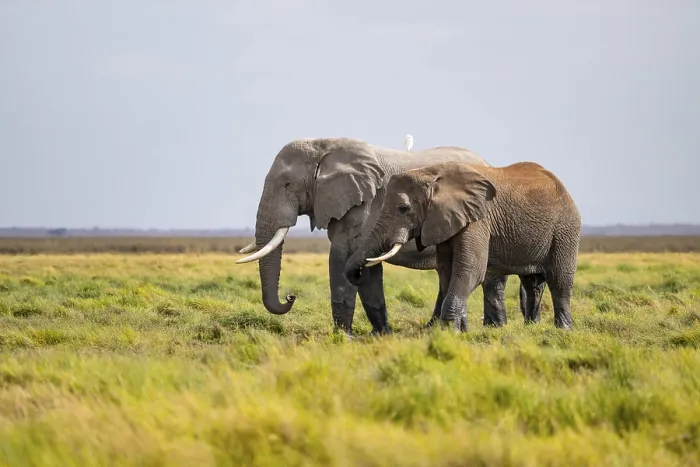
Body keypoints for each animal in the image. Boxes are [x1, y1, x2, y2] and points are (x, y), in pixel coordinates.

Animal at [235, 137, 547, 335]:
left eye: (288, 184)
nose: (290, 297)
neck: (324, 144)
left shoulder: (365, 205)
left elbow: (342, 256)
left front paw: (343, 337)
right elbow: (365, 265)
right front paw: (380, 334)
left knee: (489, 275)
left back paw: (490, 329)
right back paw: (437, 328)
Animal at [343, 160, 581, 331]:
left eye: (403, 209)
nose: (359, 273)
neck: (432, 174)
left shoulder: (478, 220)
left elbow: (470, 269)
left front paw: (449, 332)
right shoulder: (444, 221)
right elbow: (448, 271)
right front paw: (460, 331)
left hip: (566, 229)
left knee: (559, 279)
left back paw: (563, 330)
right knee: (532, 282)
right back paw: (531, 328)